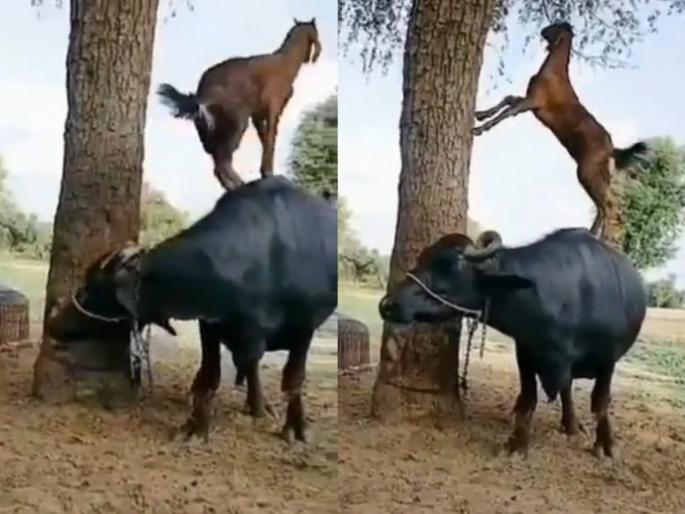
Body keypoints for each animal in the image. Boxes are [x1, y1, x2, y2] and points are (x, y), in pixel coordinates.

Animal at [158, 18, 322, 191]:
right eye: (316, 32)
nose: (311, 58)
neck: (284, 62)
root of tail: (201, 92)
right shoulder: (274, 109)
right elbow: (271, 138)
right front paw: (268, 172)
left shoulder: (257, 115)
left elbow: (264, 138)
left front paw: (265, 172)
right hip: (236, 123)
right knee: (223, 161)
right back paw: (240, 184)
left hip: (209, 131)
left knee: (218, 163)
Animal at [472, 22, 647, 240]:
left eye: (556, 26)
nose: (543, 30)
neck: (553, 72)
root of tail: (612, 151)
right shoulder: (529, 102)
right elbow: (507, 99)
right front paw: (479, 114)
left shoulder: (532, 101)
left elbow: (507, 111)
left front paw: (479, 128)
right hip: (598, 178)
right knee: (602, 208)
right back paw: (591, 234)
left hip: (588, 174)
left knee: (609, 207)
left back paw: (600, 238)